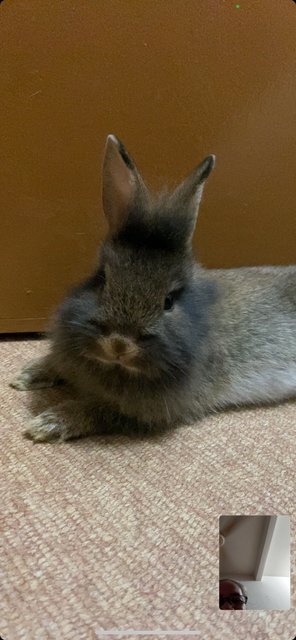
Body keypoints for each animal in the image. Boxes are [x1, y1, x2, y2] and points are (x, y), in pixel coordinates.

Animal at [9, 135, 296, 442]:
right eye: (102, 280)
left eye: (168, 301)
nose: (119, 343)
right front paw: (25, 376)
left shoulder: (143, 410)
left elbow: (96, 410)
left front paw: (47, 424)